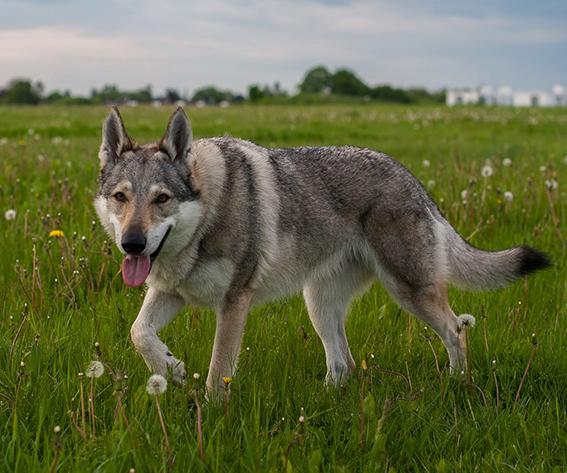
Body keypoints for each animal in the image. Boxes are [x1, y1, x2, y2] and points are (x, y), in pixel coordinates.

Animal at [96, 108, 552, 394]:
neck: (206, 216)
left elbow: (216, 374)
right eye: (121, 197)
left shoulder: (233, 302)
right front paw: (171, 369)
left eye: (161, 199)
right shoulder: (171, 292)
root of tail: (411, 178)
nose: (132, 244)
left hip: (408, 292)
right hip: (318, 304)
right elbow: (140, 333)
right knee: (343, 363)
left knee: (457, 329)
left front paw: (209, 415)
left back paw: (457, 385)